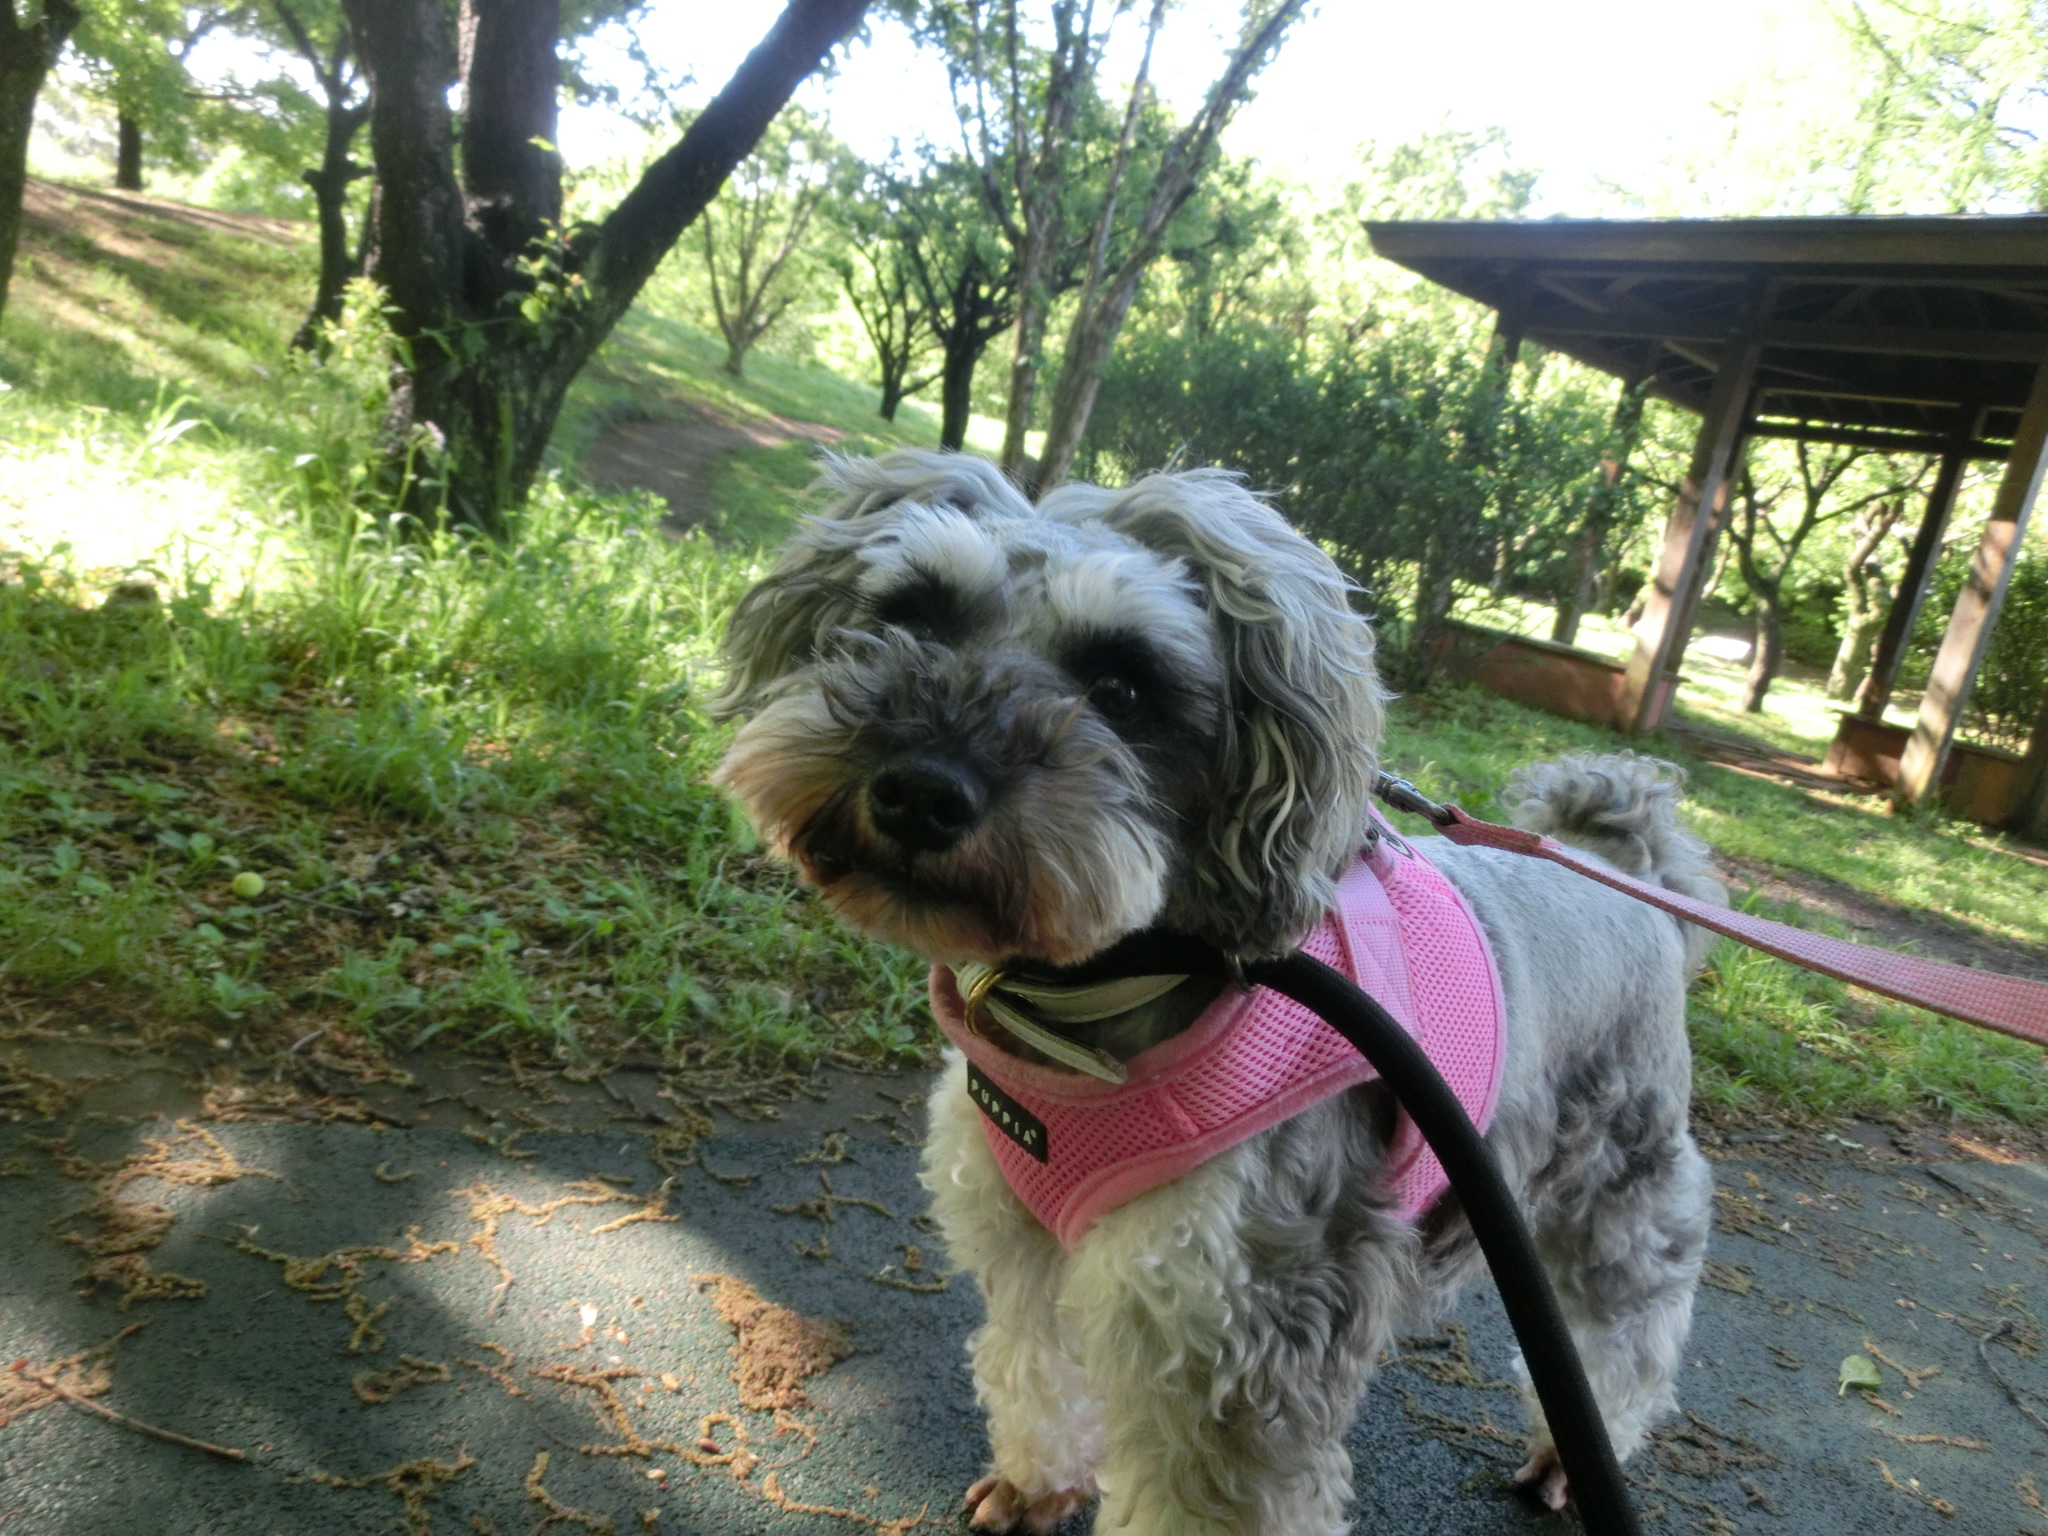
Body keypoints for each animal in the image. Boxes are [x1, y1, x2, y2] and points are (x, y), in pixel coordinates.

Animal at [713, 451, 1724, 1535]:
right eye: (913, 612)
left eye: (1124, 685)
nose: (920, 788)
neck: (1092, 1003)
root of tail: (1618, 869)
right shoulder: (1026, 1247)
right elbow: (1033, 1368)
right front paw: (1037, 1483)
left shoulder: (1237, 1337)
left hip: (1619, 1194)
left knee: (1627, 1334)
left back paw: (1573, 1455)